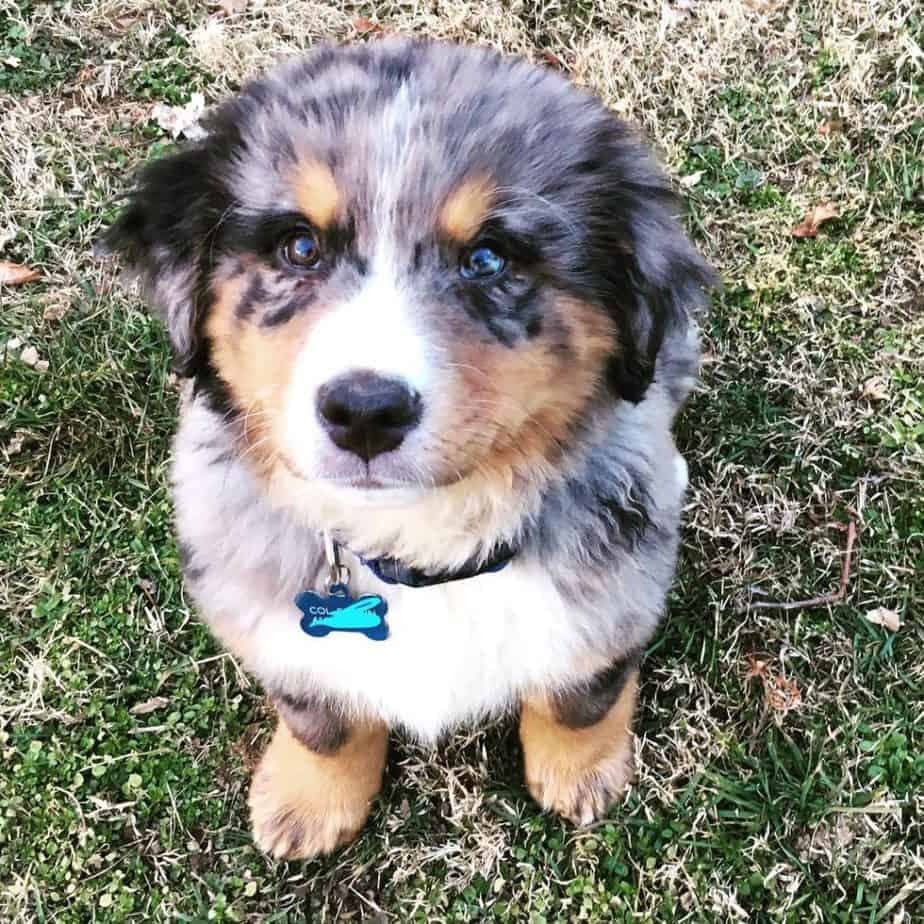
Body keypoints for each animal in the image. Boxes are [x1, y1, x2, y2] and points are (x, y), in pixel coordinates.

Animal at [108, 36, 716, 860]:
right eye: (298, 246)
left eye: (489, 258)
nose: (364, 412)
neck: (420, 547)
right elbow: (319, 717)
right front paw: (306, 801)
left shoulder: (619, 591)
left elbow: (582, 691)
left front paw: (583, 773)